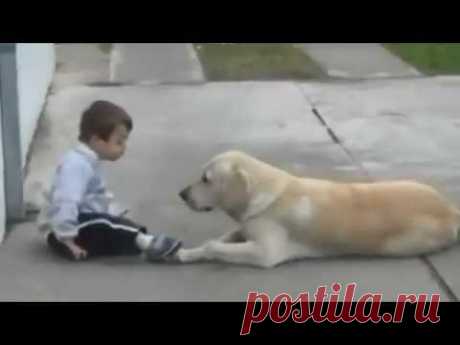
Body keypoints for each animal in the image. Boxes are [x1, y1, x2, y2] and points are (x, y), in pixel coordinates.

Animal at [175, 149, 456, 268]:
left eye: (206, 179)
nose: (181, 194)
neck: (263, 193)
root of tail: (452, 210)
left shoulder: (266, 253)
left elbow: (215, 246)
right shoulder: (245, 228)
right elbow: (220, 239)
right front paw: (186, 253)